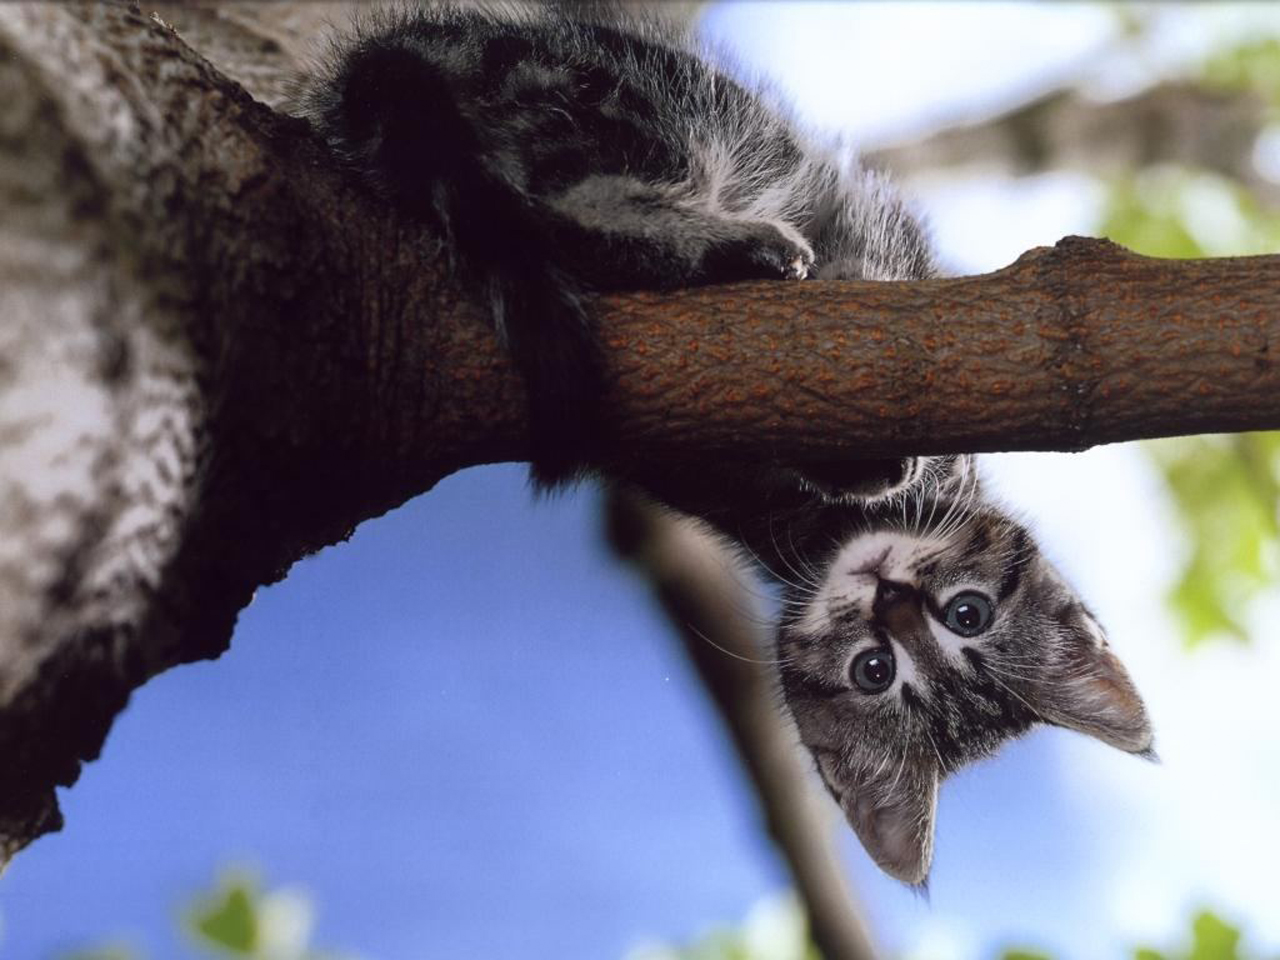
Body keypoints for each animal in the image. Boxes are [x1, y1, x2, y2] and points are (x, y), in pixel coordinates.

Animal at [304, 0, 1157, 885]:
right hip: (654, 102)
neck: (811, 530)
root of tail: (386, 67)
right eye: (966, 615)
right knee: (585, 190)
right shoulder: (875, 230)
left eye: (877, 667)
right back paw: (728, 244)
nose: (889, 596)